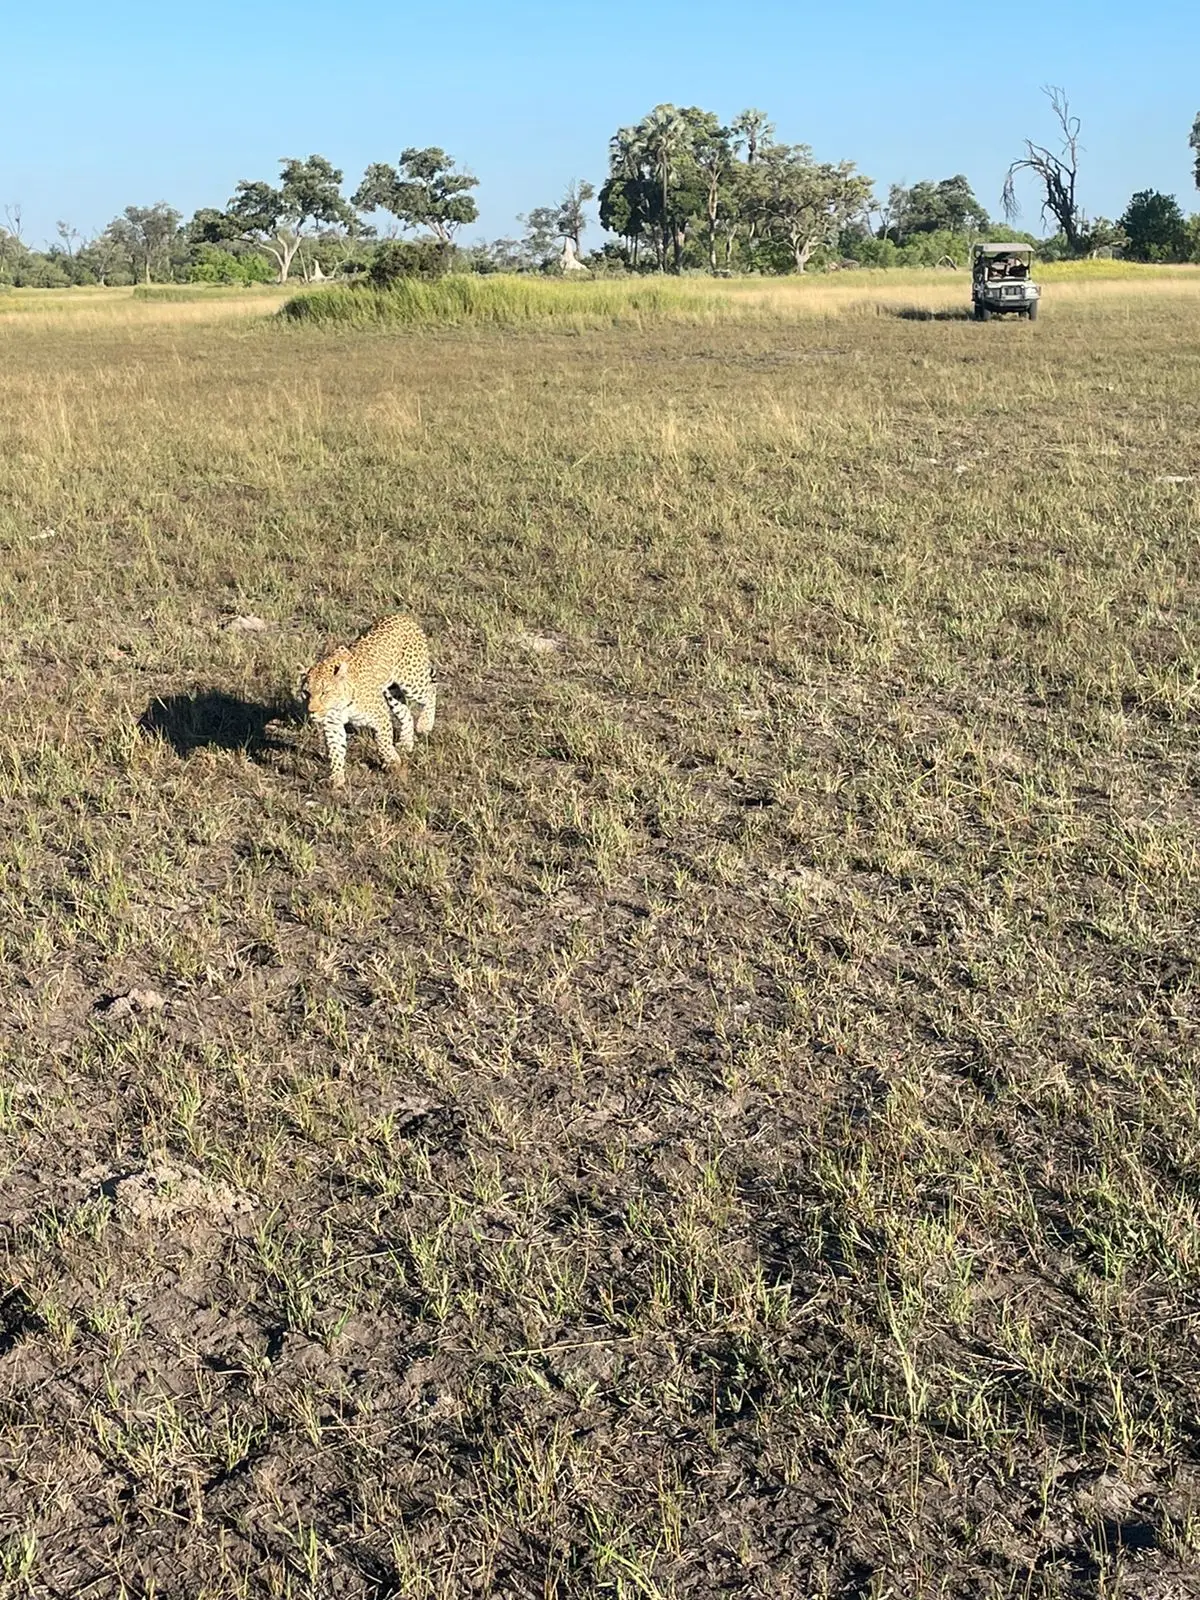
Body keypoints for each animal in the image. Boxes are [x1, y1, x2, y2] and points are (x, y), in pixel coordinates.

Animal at [302, 611, 438, 787]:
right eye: (306, 693)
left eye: (325, 692)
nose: (311, 711)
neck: (342, 703)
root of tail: (403, 616)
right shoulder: (332, 724)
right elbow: (335, 751)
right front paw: (336, 777)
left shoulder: (380, 715)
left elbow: (383, 741)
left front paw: (392, 762)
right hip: (391, 691)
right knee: (405, 712)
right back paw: (406, 743)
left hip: (412, 679)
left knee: (431, 690)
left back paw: (425, 724)